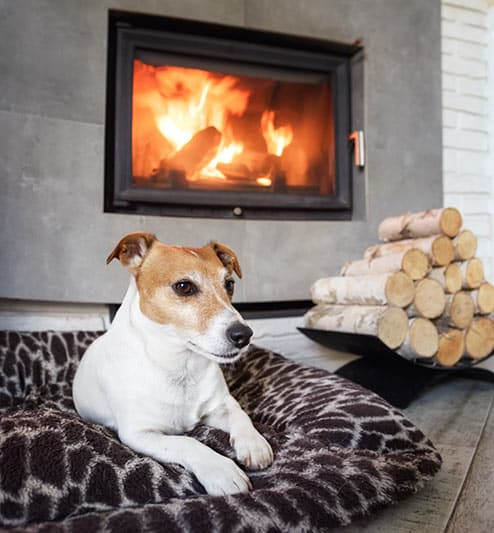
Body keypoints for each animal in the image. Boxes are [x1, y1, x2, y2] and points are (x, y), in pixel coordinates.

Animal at [72, 233, 274, 494]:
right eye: (184, 286)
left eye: (229, 284)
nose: (244, 335)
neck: (181, 365)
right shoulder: (138, 433)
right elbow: (186, 442)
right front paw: (221, 470)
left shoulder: (220, 405)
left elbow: (240, 413)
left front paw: (253, 443)